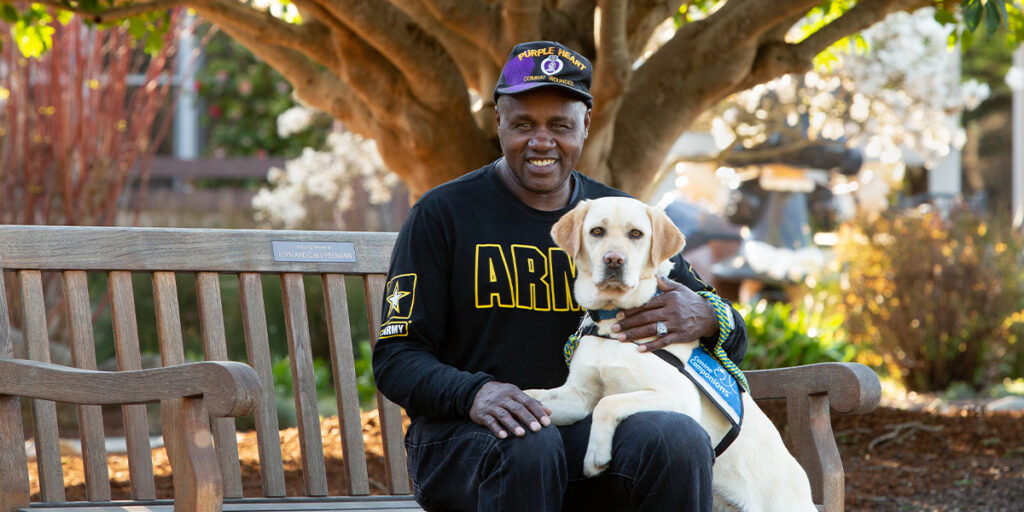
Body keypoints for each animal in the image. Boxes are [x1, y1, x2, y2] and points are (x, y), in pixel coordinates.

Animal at [528, 195, 815, 512]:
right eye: (597, 231)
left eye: (636, 234)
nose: (614, 260)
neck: (611, 324)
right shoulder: (578, 397)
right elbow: (536, 396)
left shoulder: (679, 396)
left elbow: (608, 402)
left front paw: (596, 455)